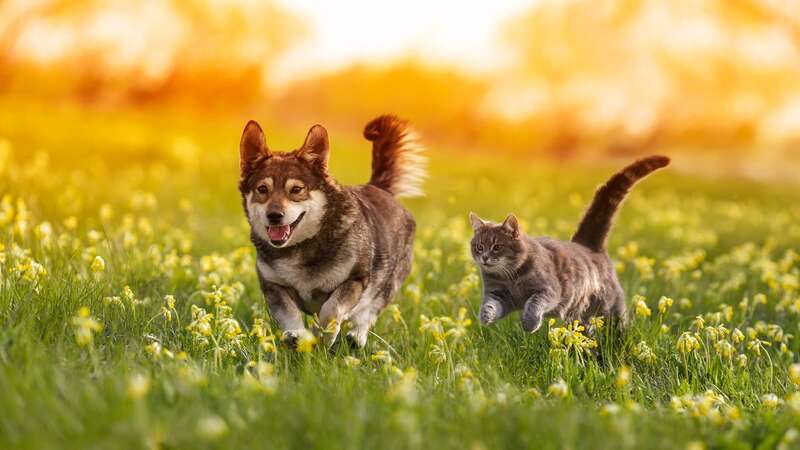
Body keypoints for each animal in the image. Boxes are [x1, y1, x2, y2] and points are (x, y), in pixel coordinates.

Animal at [238, 114, 424, 346]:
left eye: (296, 189)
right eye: (262, 189)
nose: (274, 215)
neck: (302, 246)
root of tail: (379, 188)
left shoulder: (355, 280)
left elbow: (332, 308)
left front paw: (323, 334)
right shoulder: (273, 286)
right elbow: (289, 312)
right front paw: (295, 334)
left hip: (389, 283)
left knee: (369, 311)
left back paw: (356, 336)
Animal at [468, 156, 668, 332]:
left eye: (496, 247)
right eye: (479, 247)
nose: (484, 257)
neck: (510, 277)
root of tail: (589, 244)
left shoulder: (549, 290)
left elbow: (533, 304)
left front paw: (529, 324)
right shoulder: (498, 293)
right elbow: (490, 304)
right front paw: (485, 316)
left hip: (609, 306)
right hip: (581, 314)